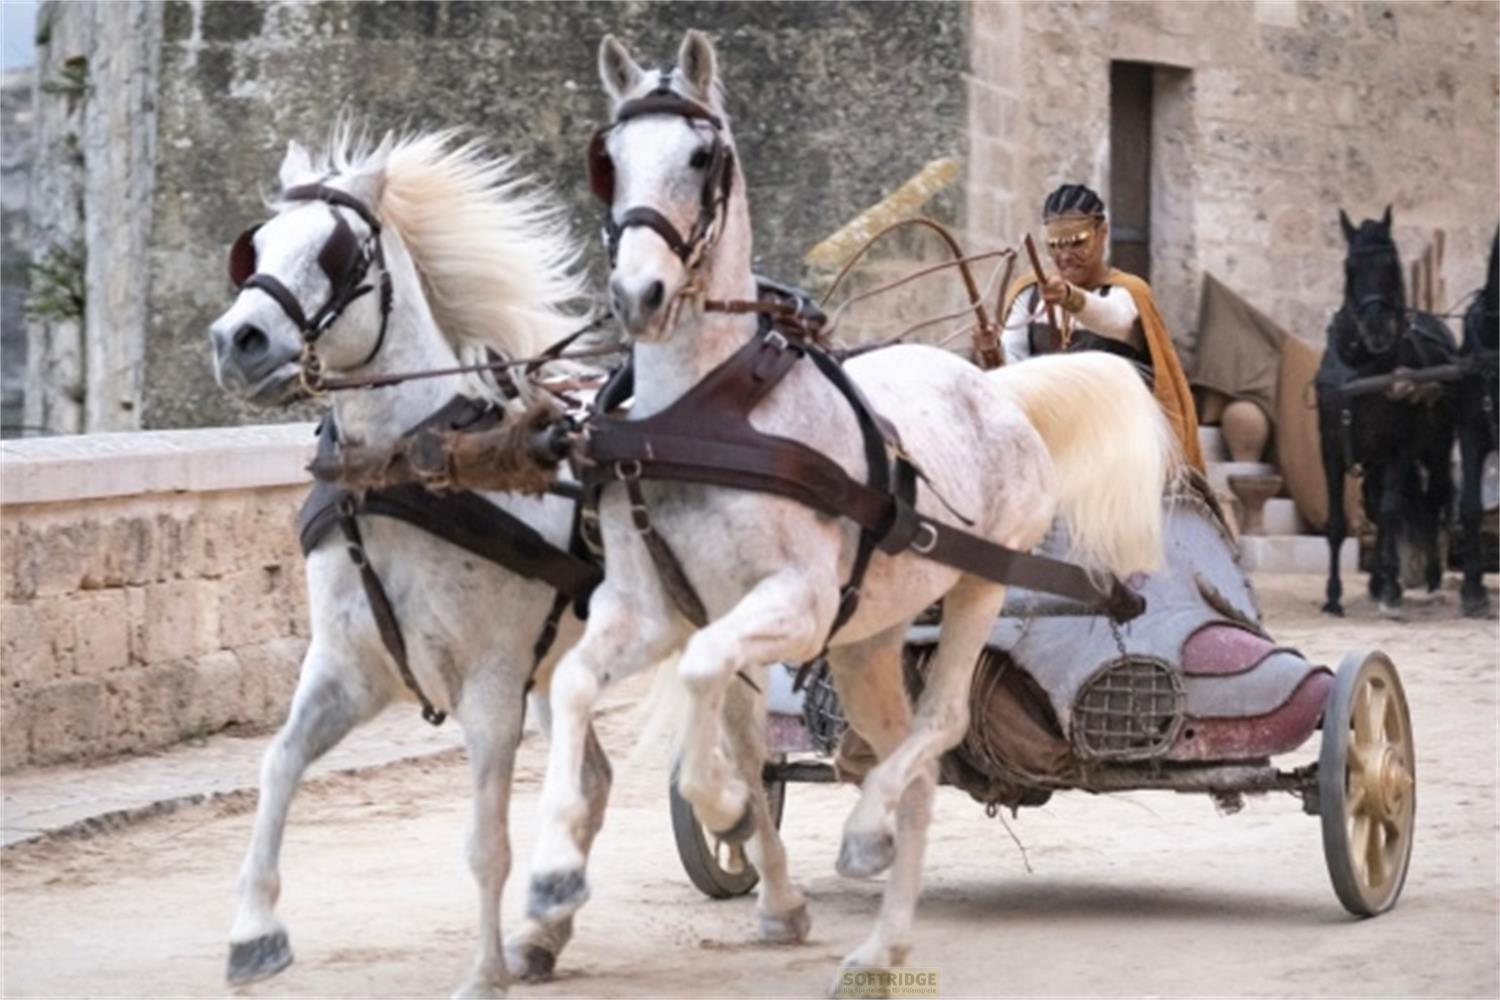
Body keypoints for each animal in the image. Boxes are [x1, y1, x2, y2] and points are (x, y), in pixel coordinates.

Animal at [208, 129, 627, 997]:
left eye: (336, 252)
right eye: (254, 247)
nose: (237, 341)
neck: (401, 472)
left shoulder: (491, 686)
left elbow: (486, 841)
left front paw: (484, 973)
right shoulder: (347, 669)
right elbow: (276, 765)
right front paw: (254, 932)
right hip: (556, 669)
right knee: (594, 781)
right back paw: (547, 930)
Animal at [521, 31, 1177, 988]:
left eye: (702, 157)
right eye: (608, 159)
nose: (638, 295)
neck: (705, 415)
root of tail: (992, 385)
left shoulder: (793, 605)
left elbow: (704, 678)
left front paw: (720, 805)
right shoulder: (646, 609)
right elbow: (579, 684)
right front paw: (552, 883)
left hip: (980, 584)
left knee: (938, 727)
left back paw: (866, 847)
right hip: (870, 637)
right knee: (909, 761)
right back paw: (882, 937)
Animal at [1315, 207, 1457, 616]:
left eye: (1392, 264)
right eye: (1349, 267)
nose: (1377, 329)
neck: (1359, 367)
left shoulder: (1398, 448)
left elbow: (1394, 511)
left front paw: (1392, 588)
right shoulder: (1331, 447)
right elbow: (1337, 521)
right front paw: (1334, 596)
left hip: (1435, 447)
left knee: (1432, 498)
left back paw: (1427, 577)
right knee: (1378, 506)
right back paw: (1379, 580)